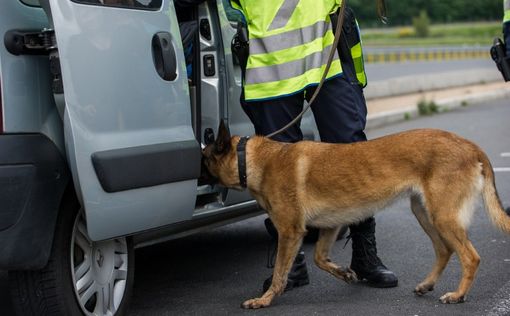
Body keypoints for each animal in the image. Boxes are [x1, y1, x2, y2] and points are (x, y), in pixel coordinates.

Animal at [203, 121, 510, 308]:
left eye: (204, 160)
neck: (256, 160)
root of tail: (470, 145)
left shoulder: (290, 232)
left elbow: (280, 272)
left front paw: (264, 300)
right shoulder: (330, 226)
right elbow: (319, 258)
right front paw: (345, 273)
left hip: (442, 217)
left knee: (470, 257)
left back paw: (458, 295)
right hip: (424, 213)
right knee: (444, 250)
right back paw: (427, 285)